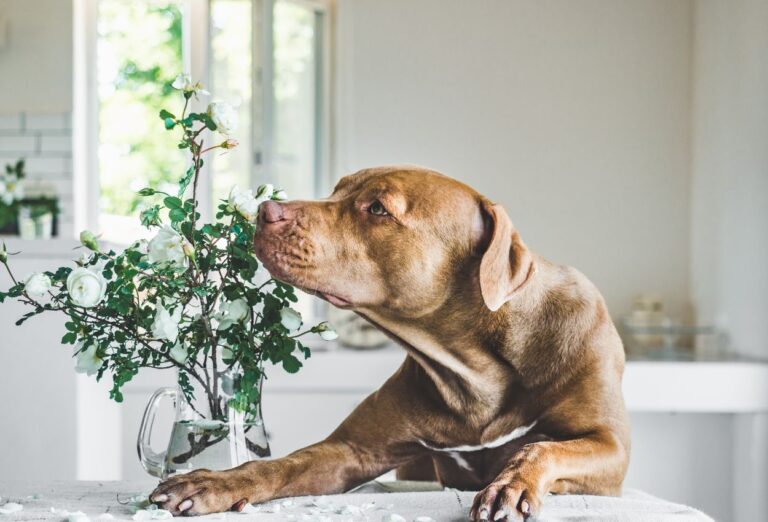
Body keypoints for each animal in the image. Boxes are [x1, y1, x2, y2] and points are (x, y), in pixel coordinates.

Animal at [148, 167, 632, 520]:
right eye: (337, 190)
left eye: (378, 208)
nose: (266, 209)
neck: (476, 369)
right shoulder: (351, 451)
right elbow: (279, 464)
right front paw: (215, 482)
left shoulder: (609, 447)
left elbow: (543, 447)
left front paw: (510, 486)